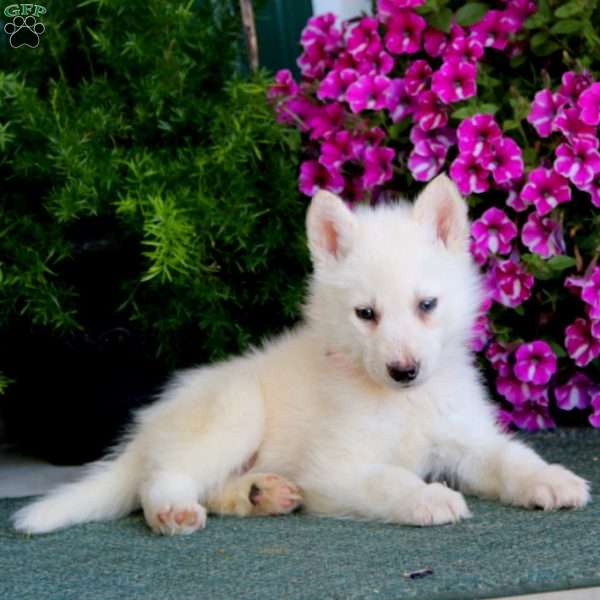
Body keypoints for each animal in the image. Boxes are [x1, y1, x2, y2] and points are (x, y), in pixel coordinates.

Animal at [14, 173, 592, 536]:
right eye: (366, 314)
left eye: (427, 305)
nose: (404, 371)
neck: (401, 403)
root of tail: (151, 427)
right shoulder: (335, 467)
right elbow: (388, 478)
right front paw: (428, 497)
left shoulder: (465, 439)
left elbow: (510, 458)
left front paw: (550, 479)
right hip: (232, 411)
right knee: (160, 478)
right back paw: (173, 510)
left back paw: (258, 494)